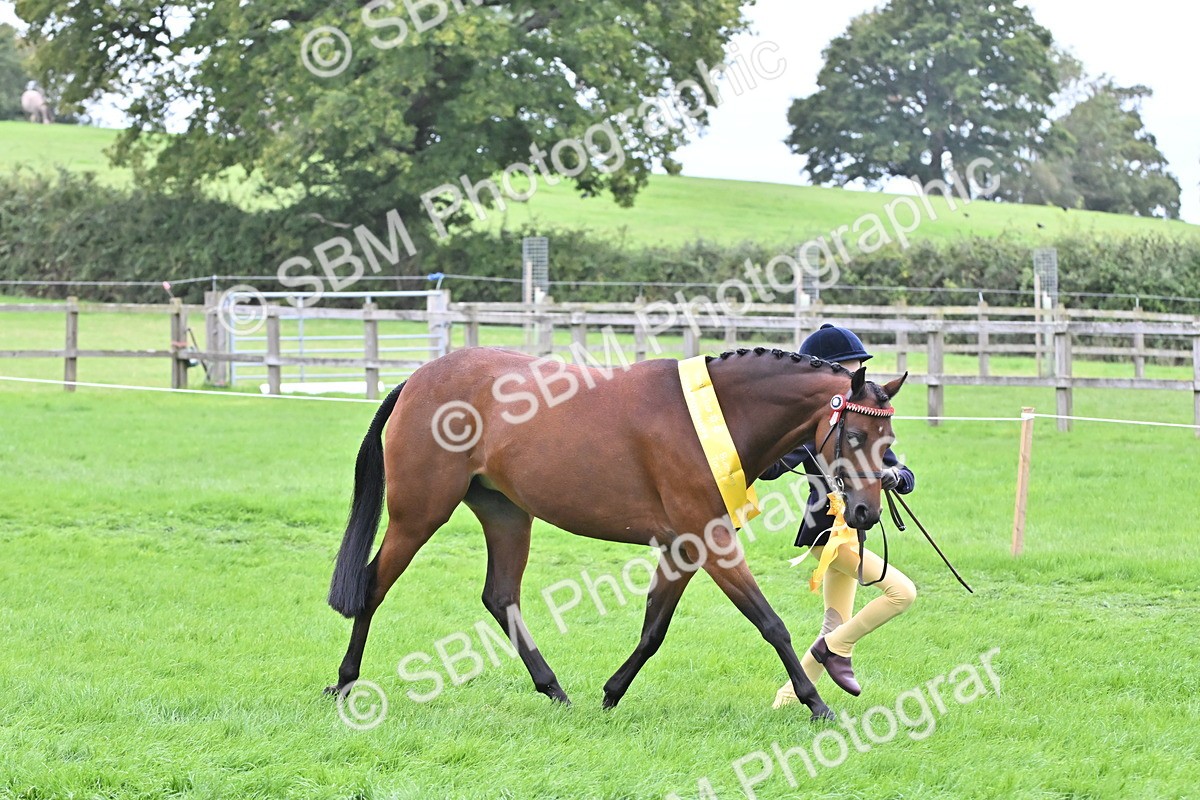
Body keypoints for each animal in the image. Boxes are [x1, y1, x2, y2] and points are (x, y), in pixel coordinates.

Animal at [326, 346, 906, 722]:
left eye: (888, 438)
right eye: (855, 435)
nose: (864, 512)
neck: (714, 417)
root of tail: (416, 379)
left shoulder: (684, 546)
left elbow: (654, 629)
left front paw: (611, 693)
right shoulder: (712, 543)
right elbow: (771, 624)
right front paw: (818, 704)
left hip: (508, 515)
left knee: (501, 597)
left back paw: (554, 690)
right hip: (419, 515)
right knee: (372, 587)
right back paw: (345, 683)